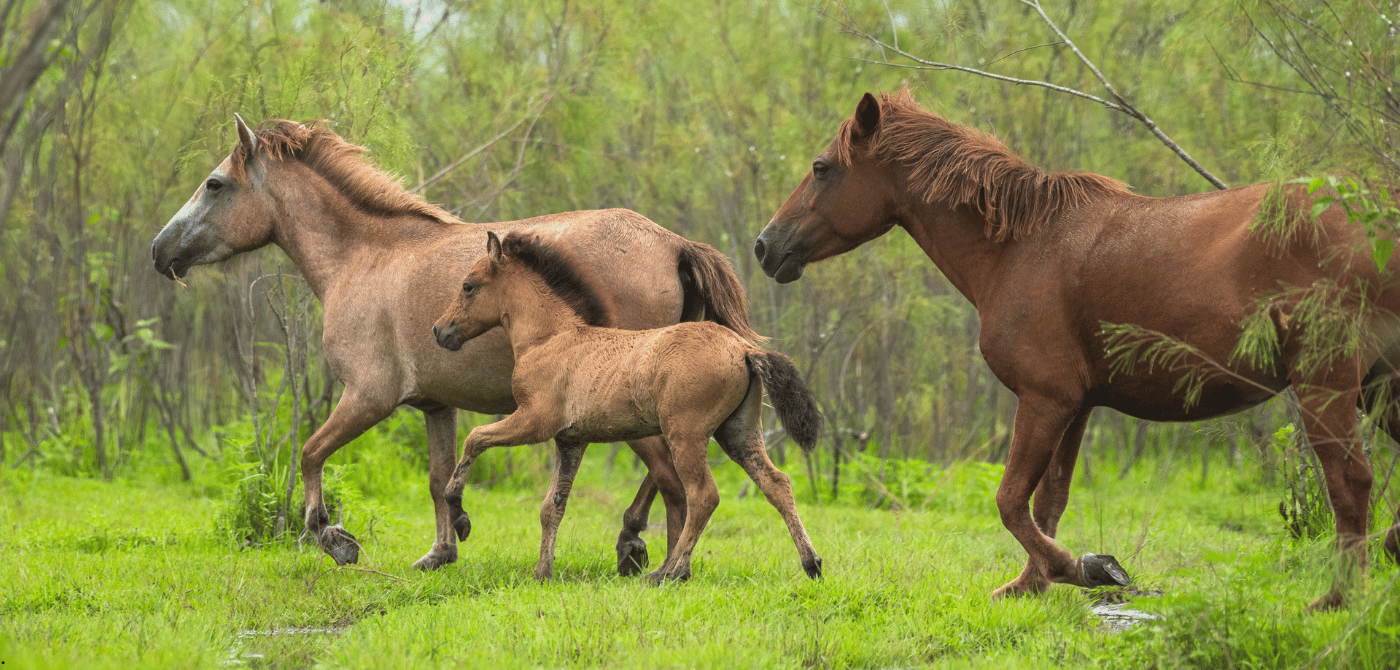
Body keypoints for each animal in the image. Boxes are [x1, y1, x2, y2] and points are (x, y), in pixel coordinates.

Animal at [151, 115, 760, 578]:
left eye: (214, 184)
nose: (160, 251)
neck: (365, 257)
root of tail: (672, 243)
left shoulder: (368, 396)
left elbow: (311, 452)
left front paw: (334, 537)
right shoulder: (434, 405)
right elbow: (439, 477)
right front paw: (442, 549)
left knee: (675, 483)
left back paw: (652, 557)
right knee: (670, 478)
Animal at [431, 230, 825, 581]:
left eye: (468, 285)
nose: (439, 330)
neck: (550, 338)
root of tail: (744, 349)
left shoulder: (533, 421)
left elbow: (475, 438)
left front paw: (461, 517)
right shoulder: (571, 441)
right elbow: (551, 507)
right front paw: (542, 573)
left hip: (686, 434)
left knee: (703, 496)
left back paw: (669, 572)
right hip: (739, 433)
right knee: (776, 483)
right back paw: (811, 564)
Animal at [754, 88, 1400, 609]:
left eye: (822, 168)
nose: (764, 246)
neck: (1019, 246)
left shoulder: (1046, 399)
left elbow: (1012, 501)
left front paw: (1082, 568)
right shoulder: (1077, 406)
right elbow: (1048, 502)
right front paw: (1032, 584)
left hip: (1328, 388)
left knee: (1350, 482)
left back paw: (1339, 598)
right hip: (1377, 390)